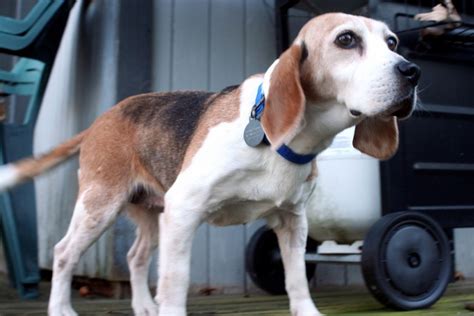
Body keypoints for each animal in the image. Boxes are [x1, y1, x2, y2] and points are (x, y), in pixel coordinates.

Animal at [0, 12, 420, 316]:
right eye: (346, 40)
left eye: (393, 42)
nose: (412, 71)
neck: (280, 143)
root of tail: (103, 117)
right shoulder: (185, 209)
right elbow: (175, 280)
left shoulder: (292, 221)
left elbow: (297, 277)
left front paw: (307, 312)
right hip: (100, 206)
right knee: (63, 254)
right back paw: (62, 309)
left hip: (155, 213)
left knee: (135, 258)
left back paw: (143, 306)